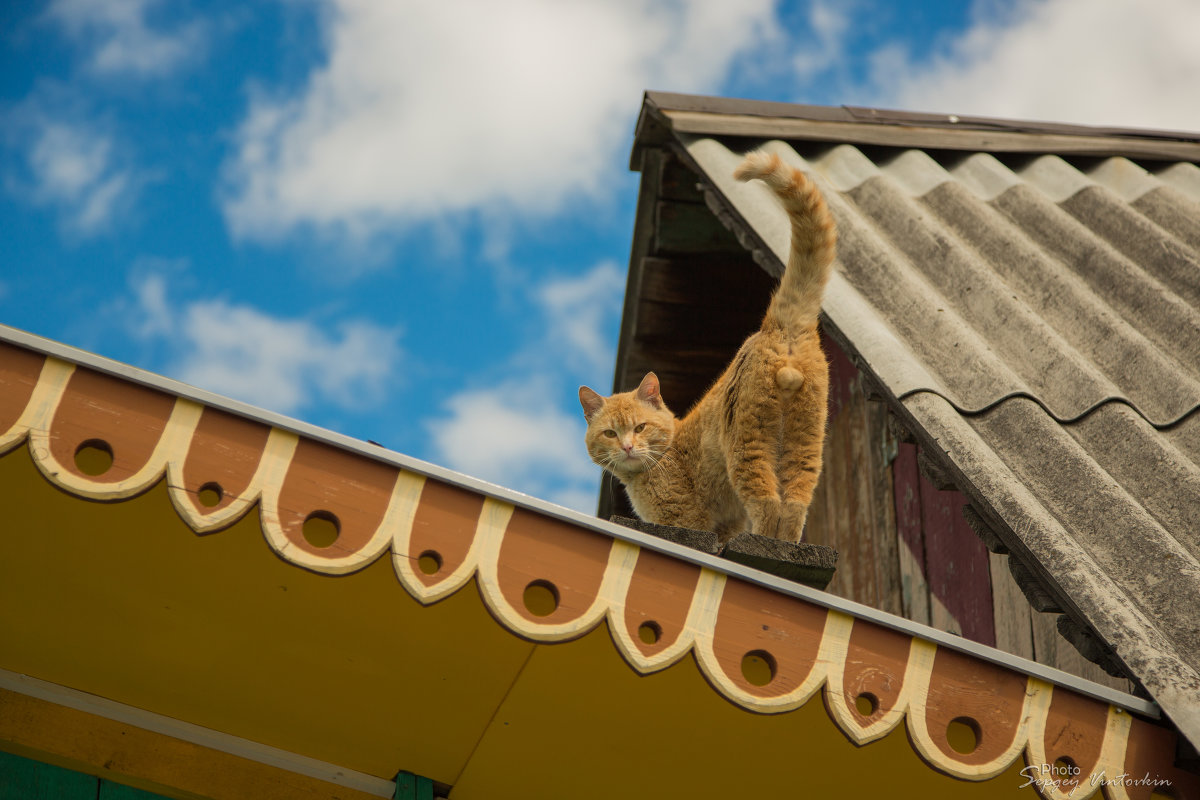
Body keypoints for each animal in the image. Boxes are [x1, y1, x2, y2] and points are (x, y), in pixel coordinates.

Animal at [580, 151, 835, 544]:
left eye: (640, 428)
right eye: (610, 433)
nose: (627, 446)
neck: (664, 455)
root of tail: (777, 327)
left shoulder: (686, 520)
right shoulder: (725, 524)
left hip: (748, 447)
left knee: (768, 502)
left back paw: (763, 541)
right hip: (805, 442)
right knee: (794, 505)